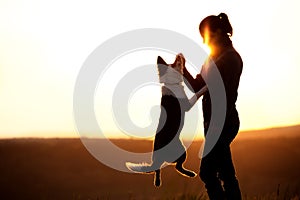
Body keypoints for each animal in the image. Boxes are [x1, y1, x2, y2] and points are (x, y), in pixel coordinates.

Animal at [125, 53, 207, 188]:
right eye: (177, 61)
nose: (180, 54)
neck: (172, 84)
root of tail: (158, 158)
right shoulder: (187, 105)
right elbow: (197, 94)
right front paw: (205, 88)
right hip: (182, 151)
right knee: (177, 167)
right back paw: (190, 174)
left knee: (159, 169)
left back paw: (158, 182)